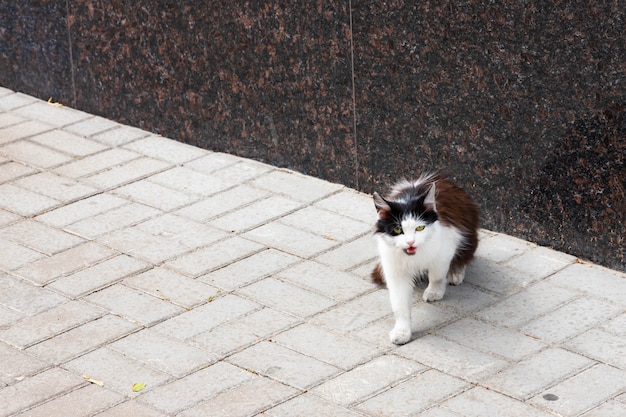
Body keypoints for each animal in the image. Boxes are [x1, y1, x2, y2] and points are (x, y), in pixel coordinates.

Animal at [370, 172, 478, 344]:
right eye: (398, 229)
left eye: (420, 228)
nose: (410, 242)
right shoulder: (393, 267)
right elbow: (399, 304)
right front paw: (402, 331)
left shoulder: (446, 247)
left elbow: (437, 276)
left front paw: (434, 291)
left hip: (469, 236)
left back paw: (455, 273)